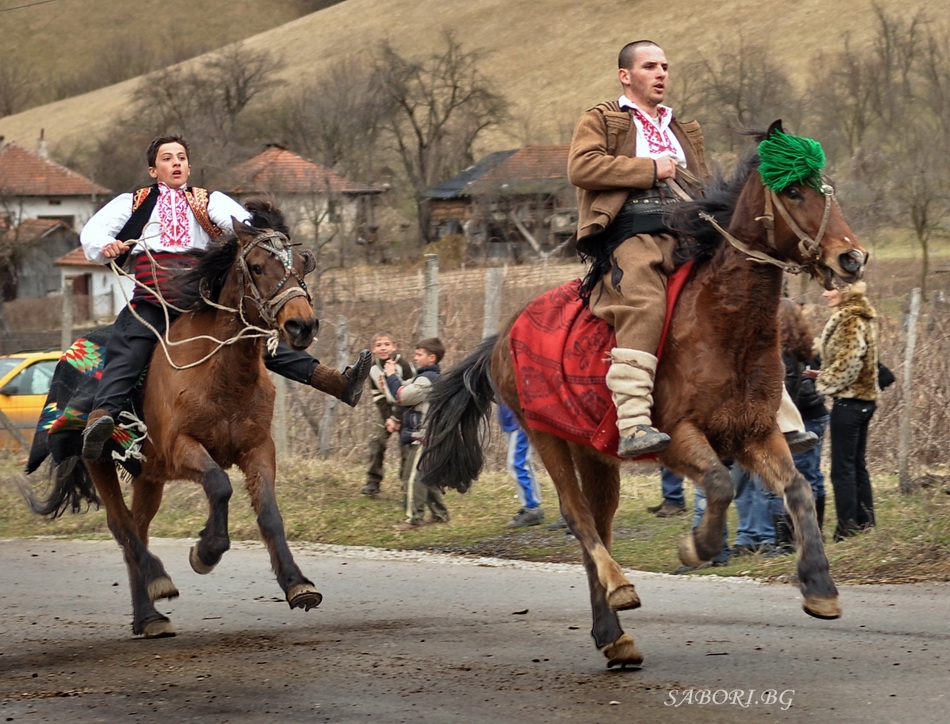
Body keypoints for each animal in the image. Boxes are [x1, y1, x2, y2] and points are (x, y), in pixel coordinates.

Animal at [24, 201, 324, 636]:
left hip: (148, 477)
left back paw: (147, 615)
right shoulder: (181, 447)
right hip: (100, 461)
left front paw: (297, 583)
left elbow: (269, 514)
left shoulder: (257, 447)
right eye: (256, 266)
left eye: (302, 263)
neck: (221, 373)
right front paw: (206, 551)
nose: (302, 325)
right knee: (122, 526)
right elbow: (219, 486)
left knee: (138, 526)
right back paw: (156, 585)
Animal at [424, 123, 872, 668]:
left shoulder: (754, 433)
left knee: (599, 524)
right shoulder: (679, 437)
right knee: (578, 518)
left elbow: (799, 491)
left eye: (827, 189)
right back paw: (619, 590)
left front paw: (819, 588)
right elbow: (719, 485)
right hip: (545, 436)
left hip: (594, 453)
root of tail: (504, 333)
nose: (851, 258)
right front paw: (698, 548)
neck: (723, 325)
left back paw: (612, 634)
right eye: (793, 192)